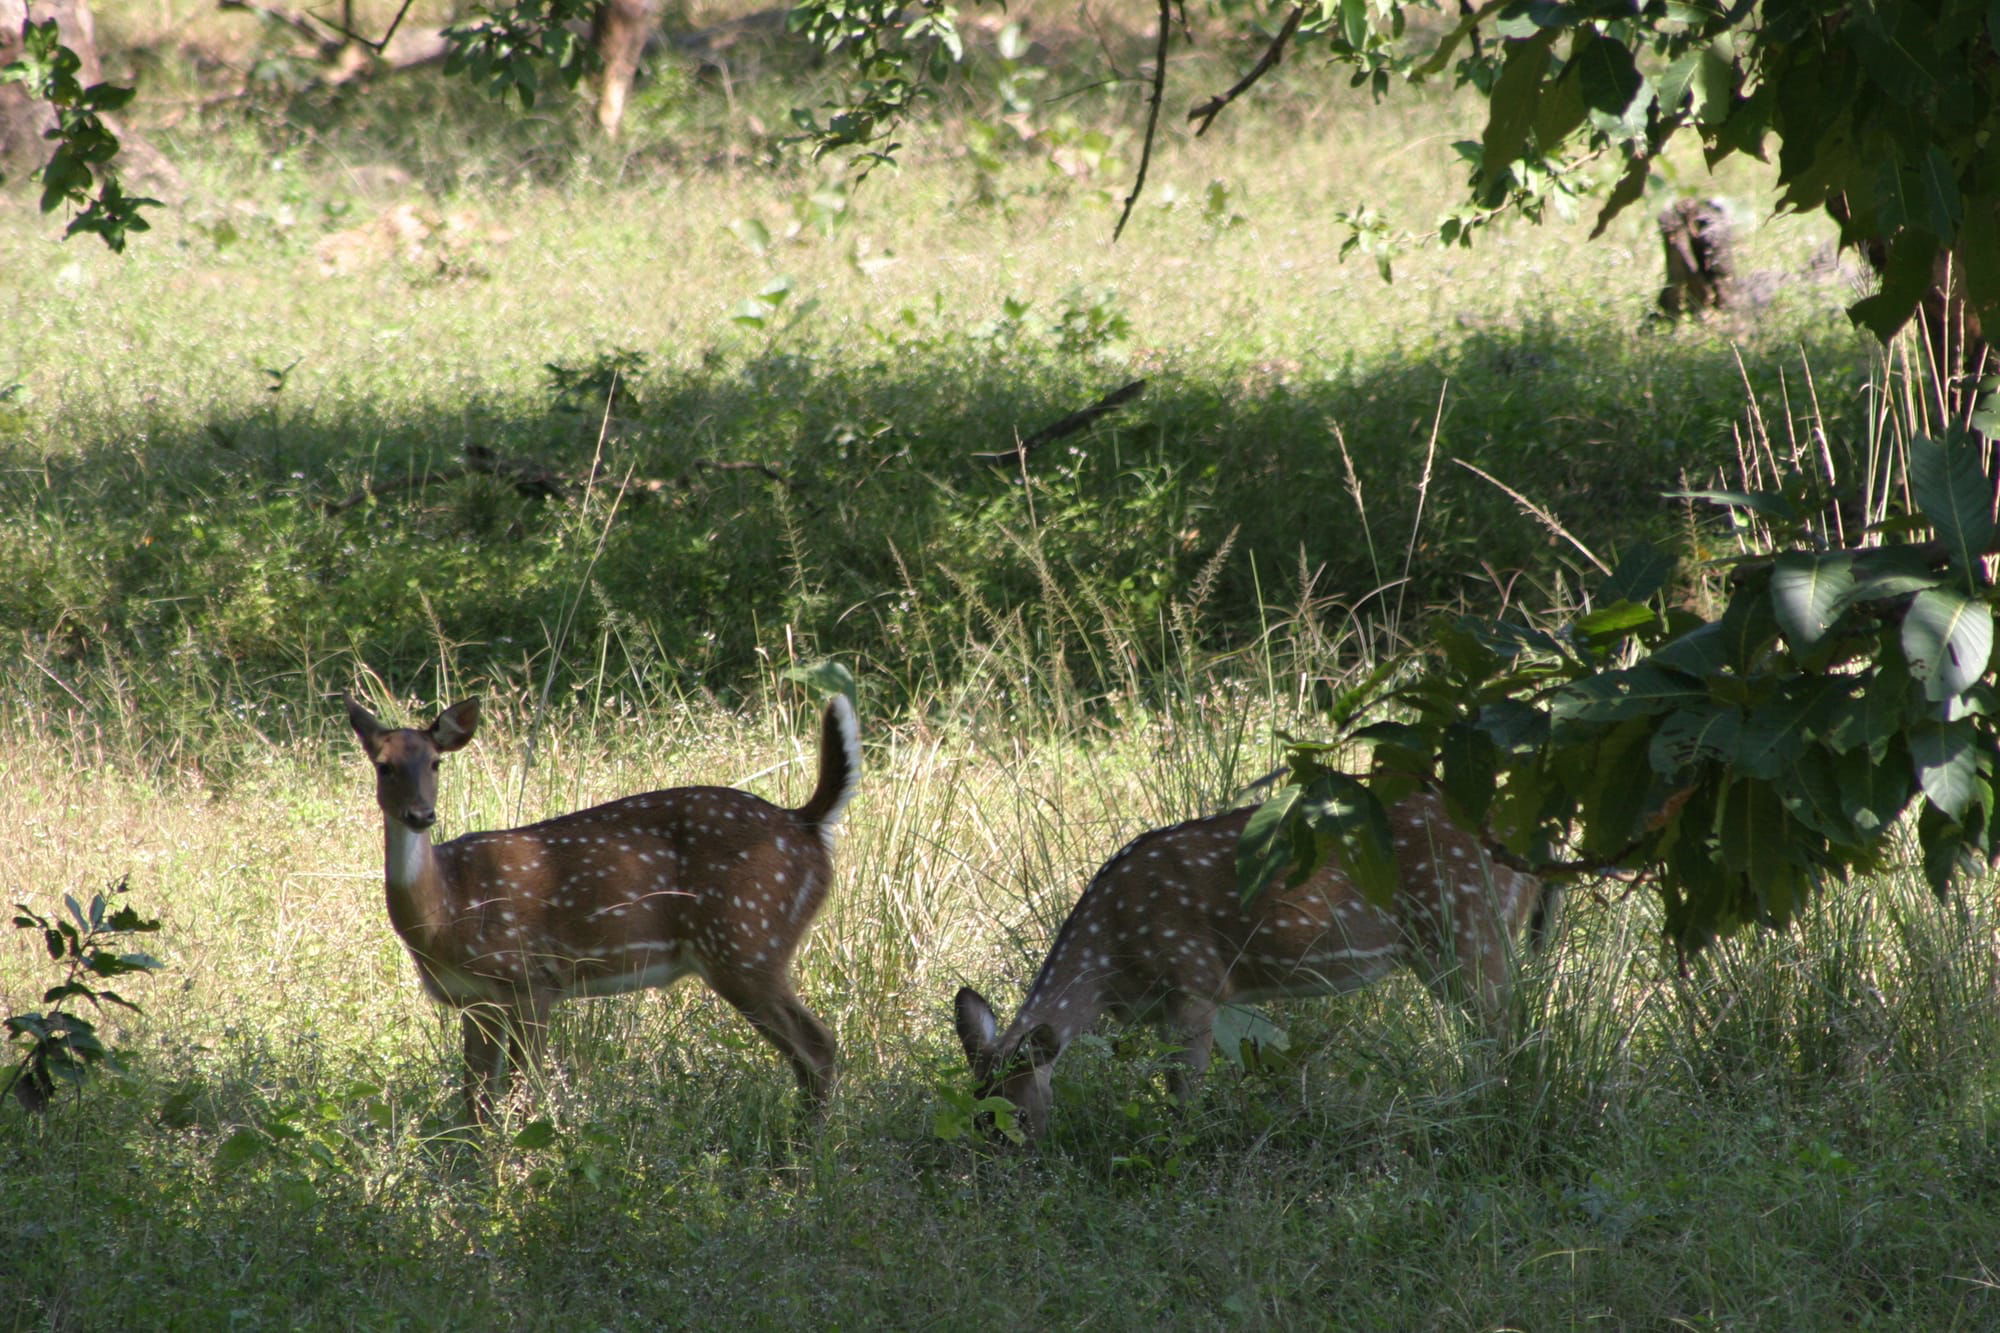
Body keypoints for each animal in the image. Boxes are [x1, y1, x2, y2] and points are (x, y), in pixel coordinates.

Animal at [346, 688, 860, 1112]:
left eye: (436, 762)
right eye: (383, 766)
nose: (421, 814)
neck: (446, 911)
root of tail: (805, 823)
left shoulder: (531, 979)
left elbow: (521, 1093)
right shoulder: (474, 1000)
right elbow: (475, 1105)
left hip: (748, 940)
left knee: (818, 1045)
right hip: (753, 947)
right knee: (808, 1054)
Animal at [960, 788, 1552, 1128]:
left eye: (1015, 1113)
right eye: (975, 1106)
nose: (1008, 1162)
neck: (1110, 959)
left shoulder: (1195, 980)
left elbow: (1183, 1090)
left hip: (1469, 926)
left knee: (1508, 1028)